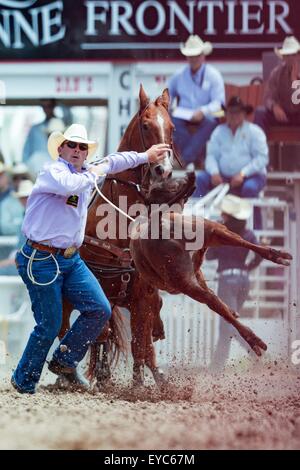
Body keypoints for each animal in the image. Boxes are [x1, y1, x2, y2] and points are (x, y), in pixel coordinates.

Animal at [129, 174, 292, 358]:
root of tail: (158, 224)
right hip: (208, 236)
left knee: (212, 299)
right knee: (214, 295)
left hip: (196, 258)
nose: (185, 178)